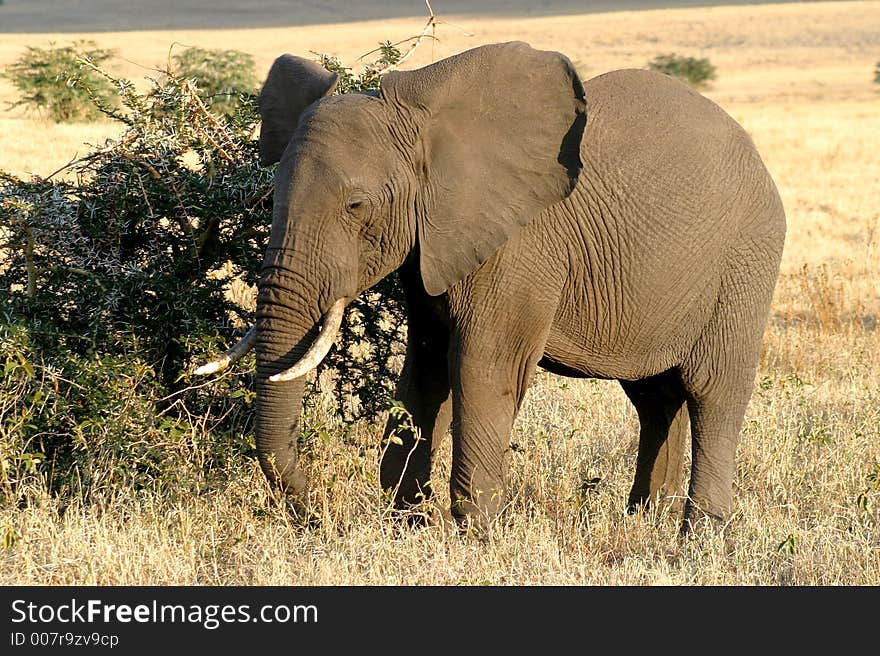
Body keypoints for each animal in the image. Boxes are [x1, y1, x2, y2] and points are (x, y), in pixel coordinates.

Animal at [196, 41, 788, 532]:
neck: (427, 132)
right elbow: (426, 369)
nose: (316, 515)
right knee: (655, 397)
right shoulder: (430, 241)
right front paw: (406, 523)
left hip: (747, 259)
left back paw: (697, 537)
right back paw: (644, 523)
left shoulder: (519, 247)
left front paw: (474, 534)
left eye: (356, 206)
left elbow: (484, 367)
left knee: (712, 390)